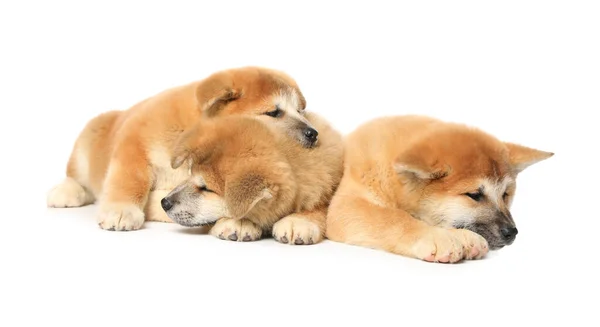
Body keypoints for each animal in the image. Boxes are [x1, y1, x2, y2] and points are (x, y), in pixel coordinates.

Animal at [47, 66, 318, 231]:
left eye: (300, 111)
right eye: (273, 113)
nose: (314, 134)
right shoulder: (133, 144)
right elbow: (130, 179)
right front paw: (121, 210)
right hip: (87, 142)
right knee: (76, 177)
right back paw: (66, 192)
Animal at [162, 114, 344, 245]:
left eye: (206, 188)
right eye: (190, 173)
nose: (164, 203)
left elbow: (322, 208)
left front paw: (298, 221)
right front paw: (239, 223)